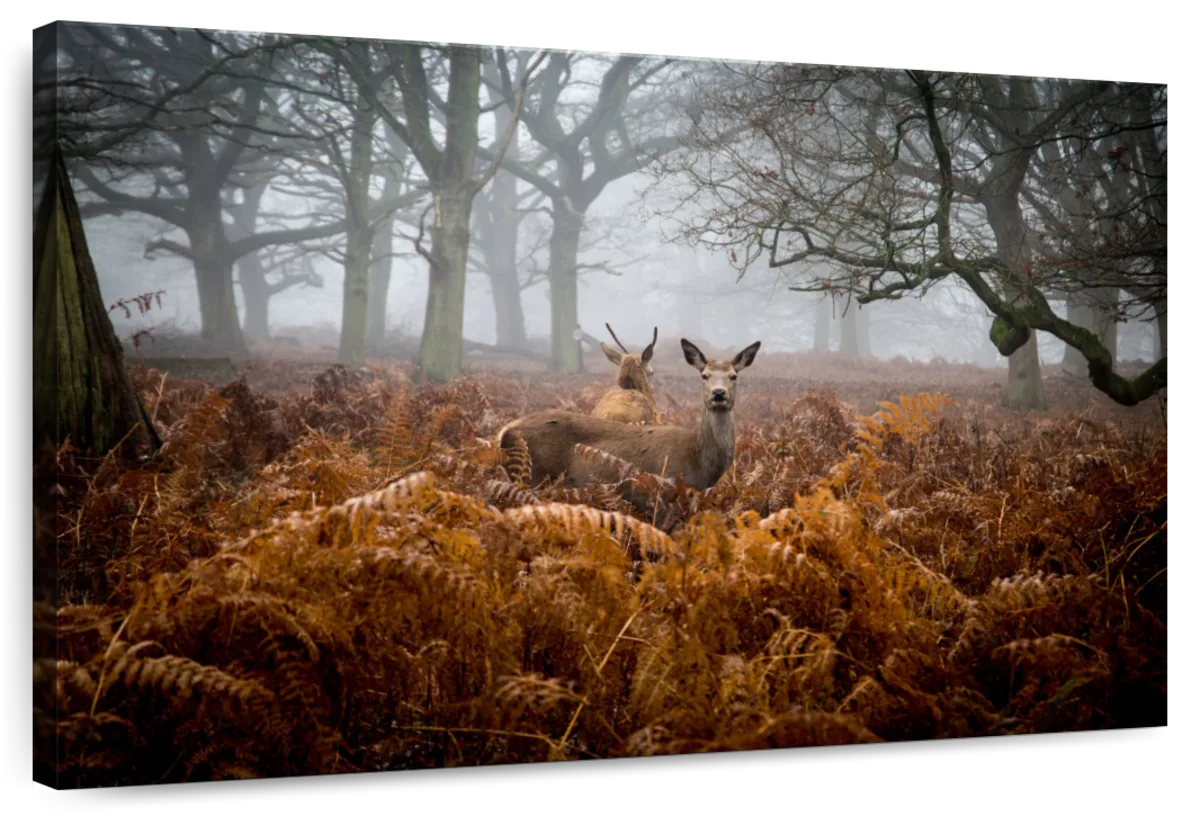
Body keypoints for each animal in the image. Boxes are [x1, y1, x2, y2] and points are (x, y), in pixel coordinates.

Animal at [499, 338, 763, 523]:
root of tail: (504, 432)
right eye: (704, 375)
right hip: (532, 478)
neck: (698, 463)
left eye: (734, 375)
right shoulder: (661, 499)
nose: (719, 394)